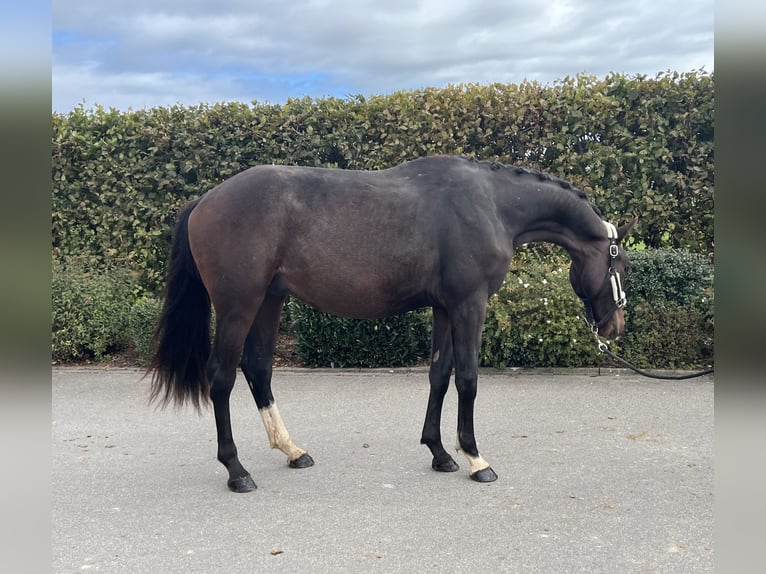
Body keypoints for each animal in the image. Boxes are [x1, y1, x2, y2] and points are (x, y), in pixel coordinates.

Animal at [149, 155, 635, 492]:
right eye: (622, 264)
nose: (615, 327)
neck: (491, 204)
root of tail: (205, 200)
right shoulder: (469, 305)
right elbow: (468, 379)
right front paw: (475, 458)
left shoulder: (444, 308)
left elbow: (440, 375)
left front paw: (440, 453)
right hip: (238, 305)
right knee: (222, 377)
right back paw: (237, 470)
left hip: (269, 300)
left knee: (258, 369)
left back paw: (292, 450)